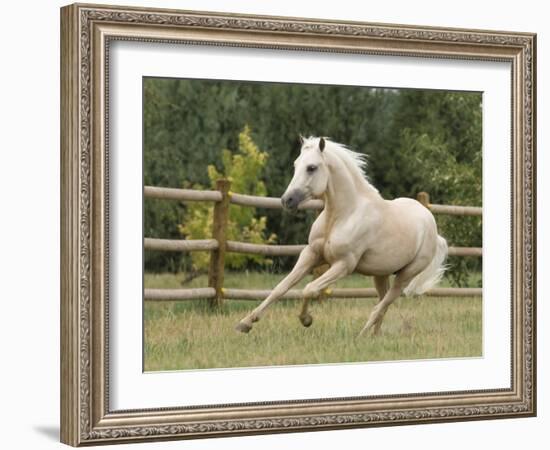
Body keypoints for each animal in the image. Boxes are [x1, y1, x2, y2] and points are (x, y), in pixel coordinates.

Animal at [236, 137, 448, 338]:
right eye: (295, 165)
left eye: (311, 167)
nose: (287, 200)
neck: (342, 215)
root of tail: (431, 224)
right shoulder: (311, 254)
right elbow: (281, 287)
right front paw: (245, 323)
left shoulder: (343, 264)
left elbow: (309, 289)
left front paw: (306, 320)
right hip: (380, 274)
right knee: (383, 303)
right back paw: (374, 335)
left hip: (406, 275)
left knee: (383, 304)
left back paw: (361, 336)